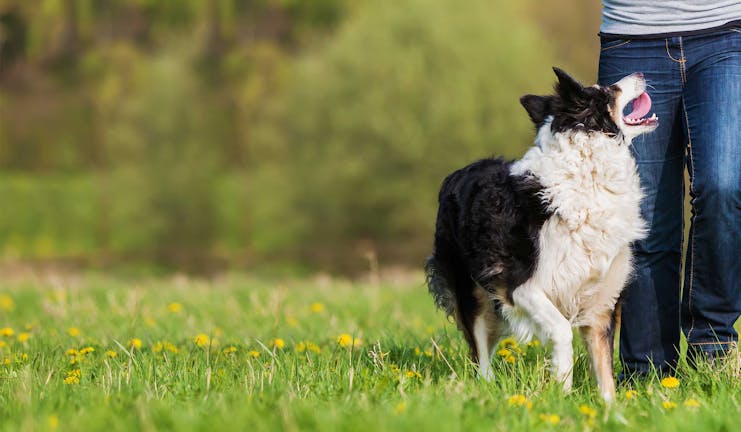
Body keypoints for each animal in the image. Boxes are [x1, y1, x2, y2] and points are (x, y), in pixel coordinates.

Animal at [424, 67, 656, 402]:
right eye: (609, 90)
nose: (640, 72)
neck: (587, 172)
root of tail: (460, 172)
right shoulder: (521, 285)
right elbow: (561, 330)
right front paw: (561, 389)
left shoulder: (601, 300)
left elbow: (605, 373)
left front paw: (609, 409)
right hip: (474, 293)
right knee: (479, 352)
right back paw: (486, 390)